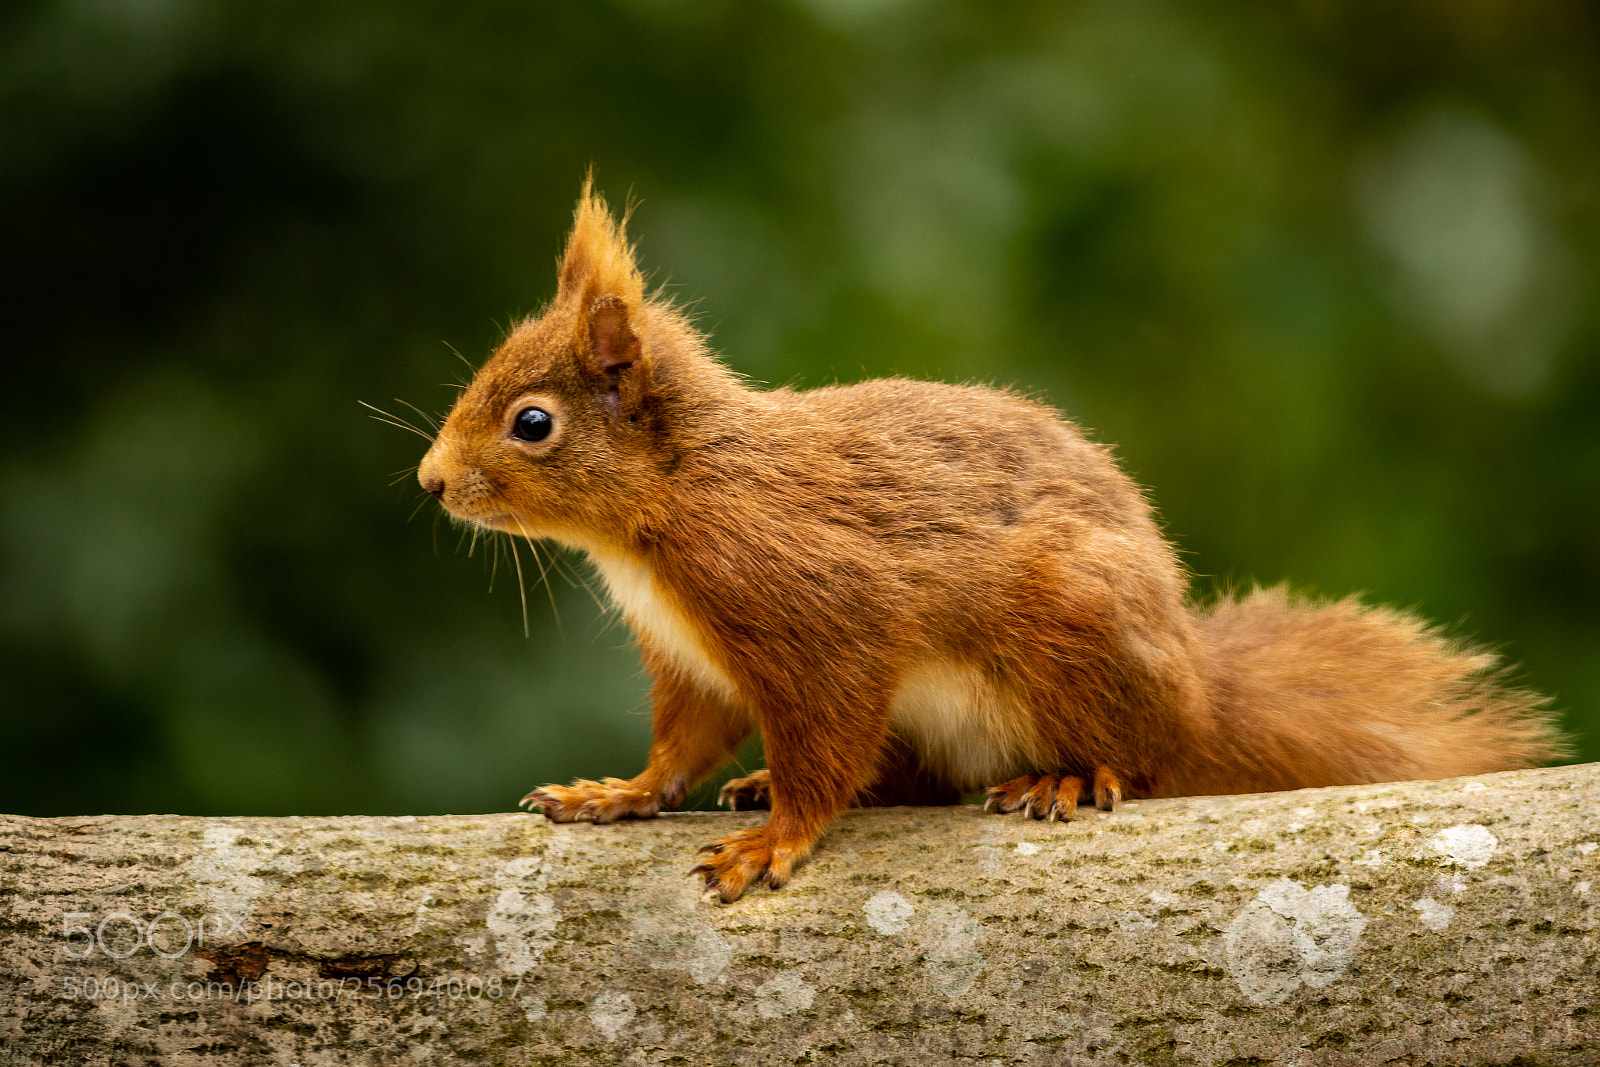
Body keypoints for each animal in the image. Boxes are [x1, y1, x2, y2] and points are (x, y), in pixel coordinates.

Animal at [417, 180, 1568, 902]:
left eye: (532, 423)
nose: (430, 481)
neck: (667, 509)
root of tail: (1201, 697)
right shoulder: (691, 657)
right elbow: (682, 745)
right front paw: (618, 794)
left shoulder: (817, 613)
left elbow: (820, 744)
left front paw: (773, 839)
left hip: (1069, 638)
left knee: (1141, 761)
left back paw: (1070, 777)